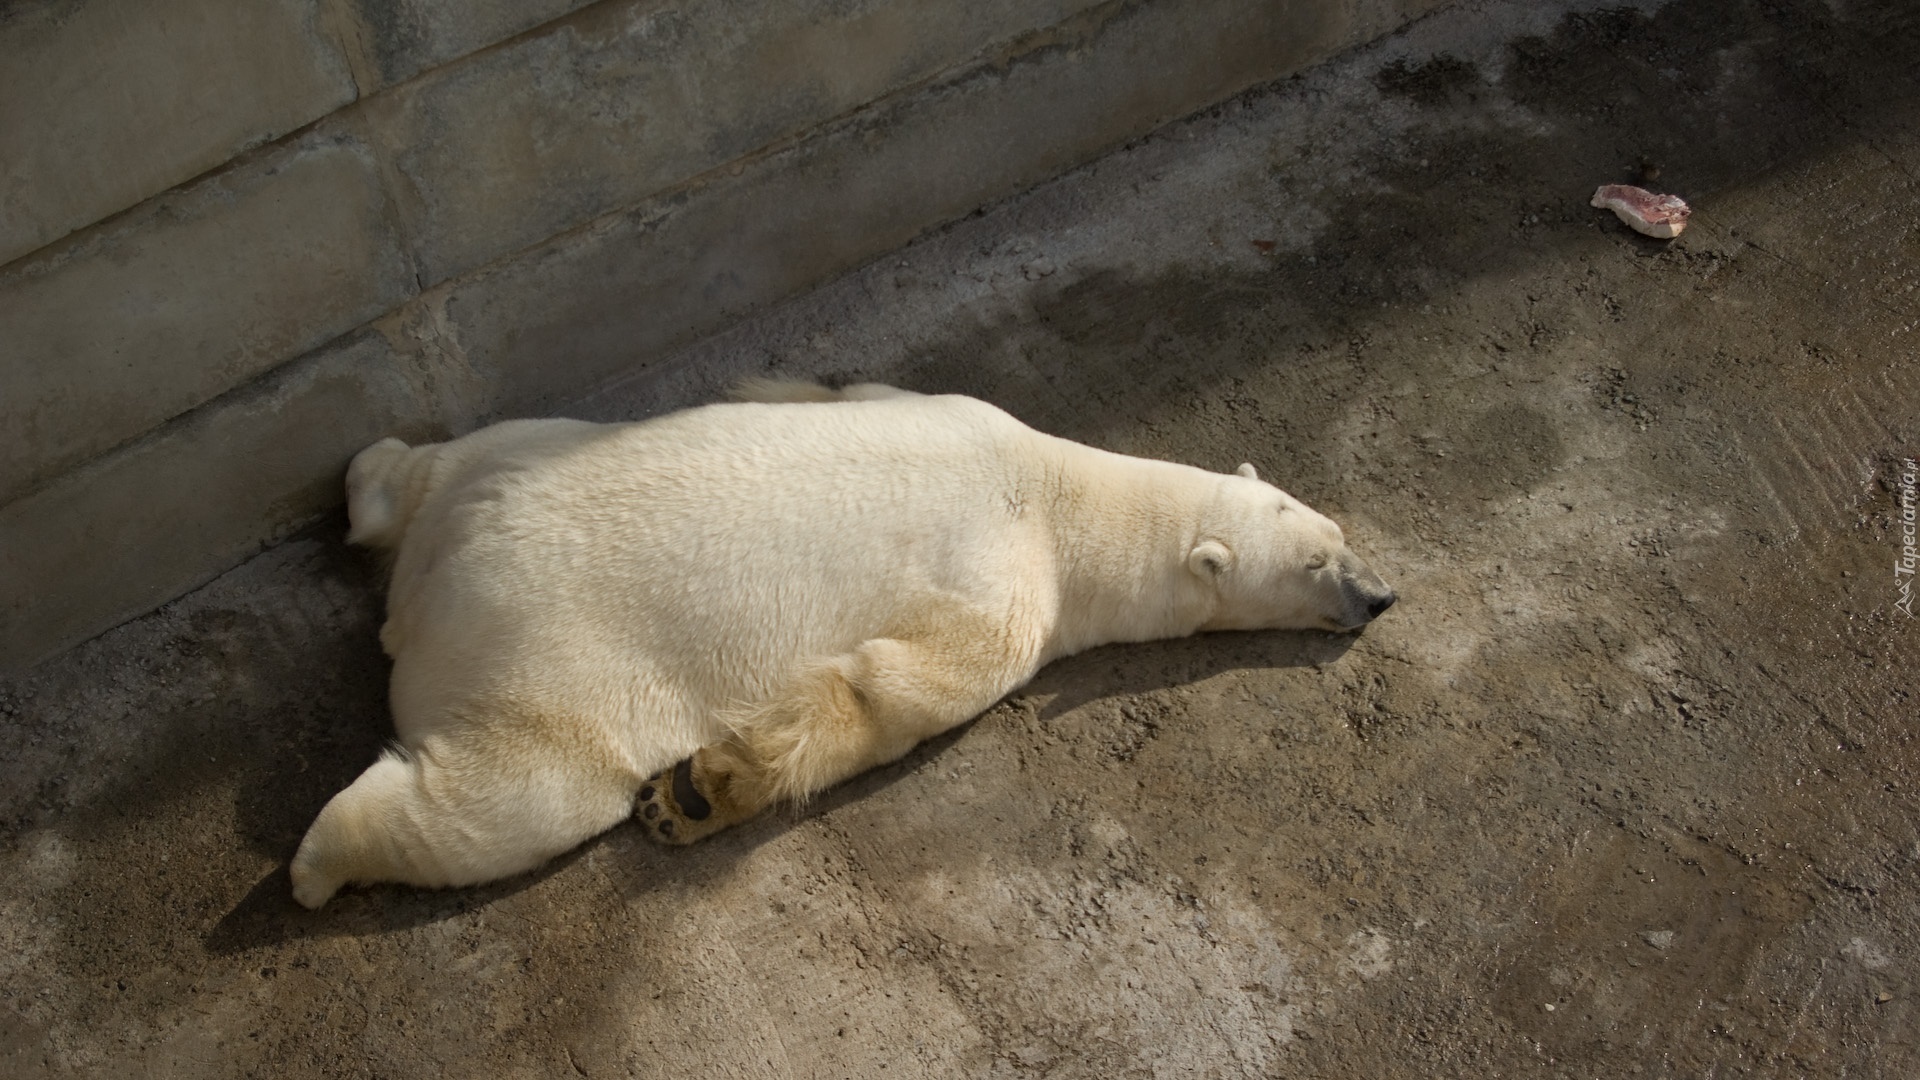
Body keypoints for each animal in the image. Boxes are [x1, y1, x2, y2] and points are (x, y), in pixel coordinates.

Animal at [288, 382, 1397, 903]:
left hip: (511, 449)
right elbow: (898, 685)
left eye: (1339, 533)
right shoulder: (1010, 587)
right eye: (1316, 565)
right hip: (551, 661)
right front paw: (703, 787)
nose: (1380, 596)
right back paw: (318, 864)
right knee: (513, 797)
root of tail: (439, 573)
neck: (1060, 492)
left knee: (416, 462)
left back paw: (369, 479)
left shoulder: (944, 407)